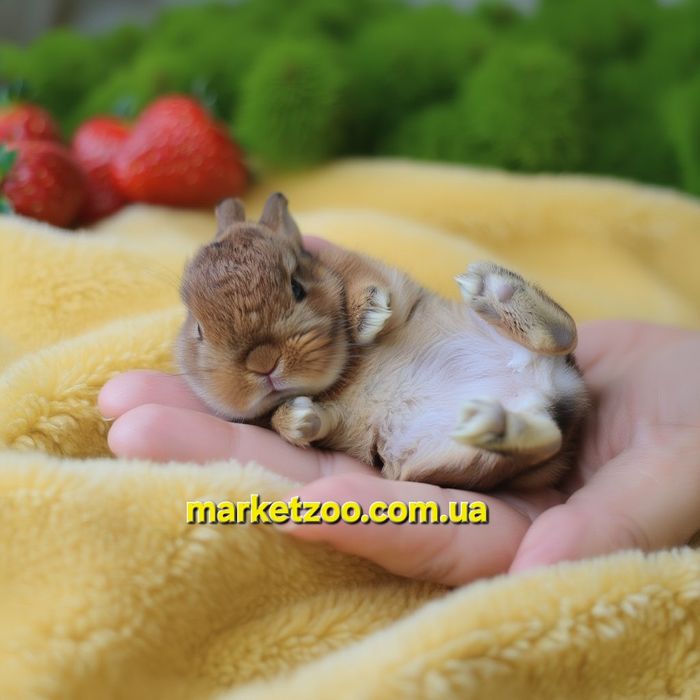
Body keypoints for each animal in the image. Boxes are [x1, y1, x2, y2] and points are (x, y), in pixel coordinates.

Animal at [175, 193, 588, 491]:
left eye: (297, 287)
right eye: (199, 329)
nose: (263, 362)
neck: (342, 375)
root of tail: (544, 393)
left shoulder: (382, 280)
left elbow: (366, 281)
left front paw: (367, 317)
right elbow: (310, 420)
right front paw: (300, 419)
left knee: (564, 336)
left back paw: (493, 289)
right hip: (455, 461)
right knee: (542, 439)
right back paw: (494, 424)